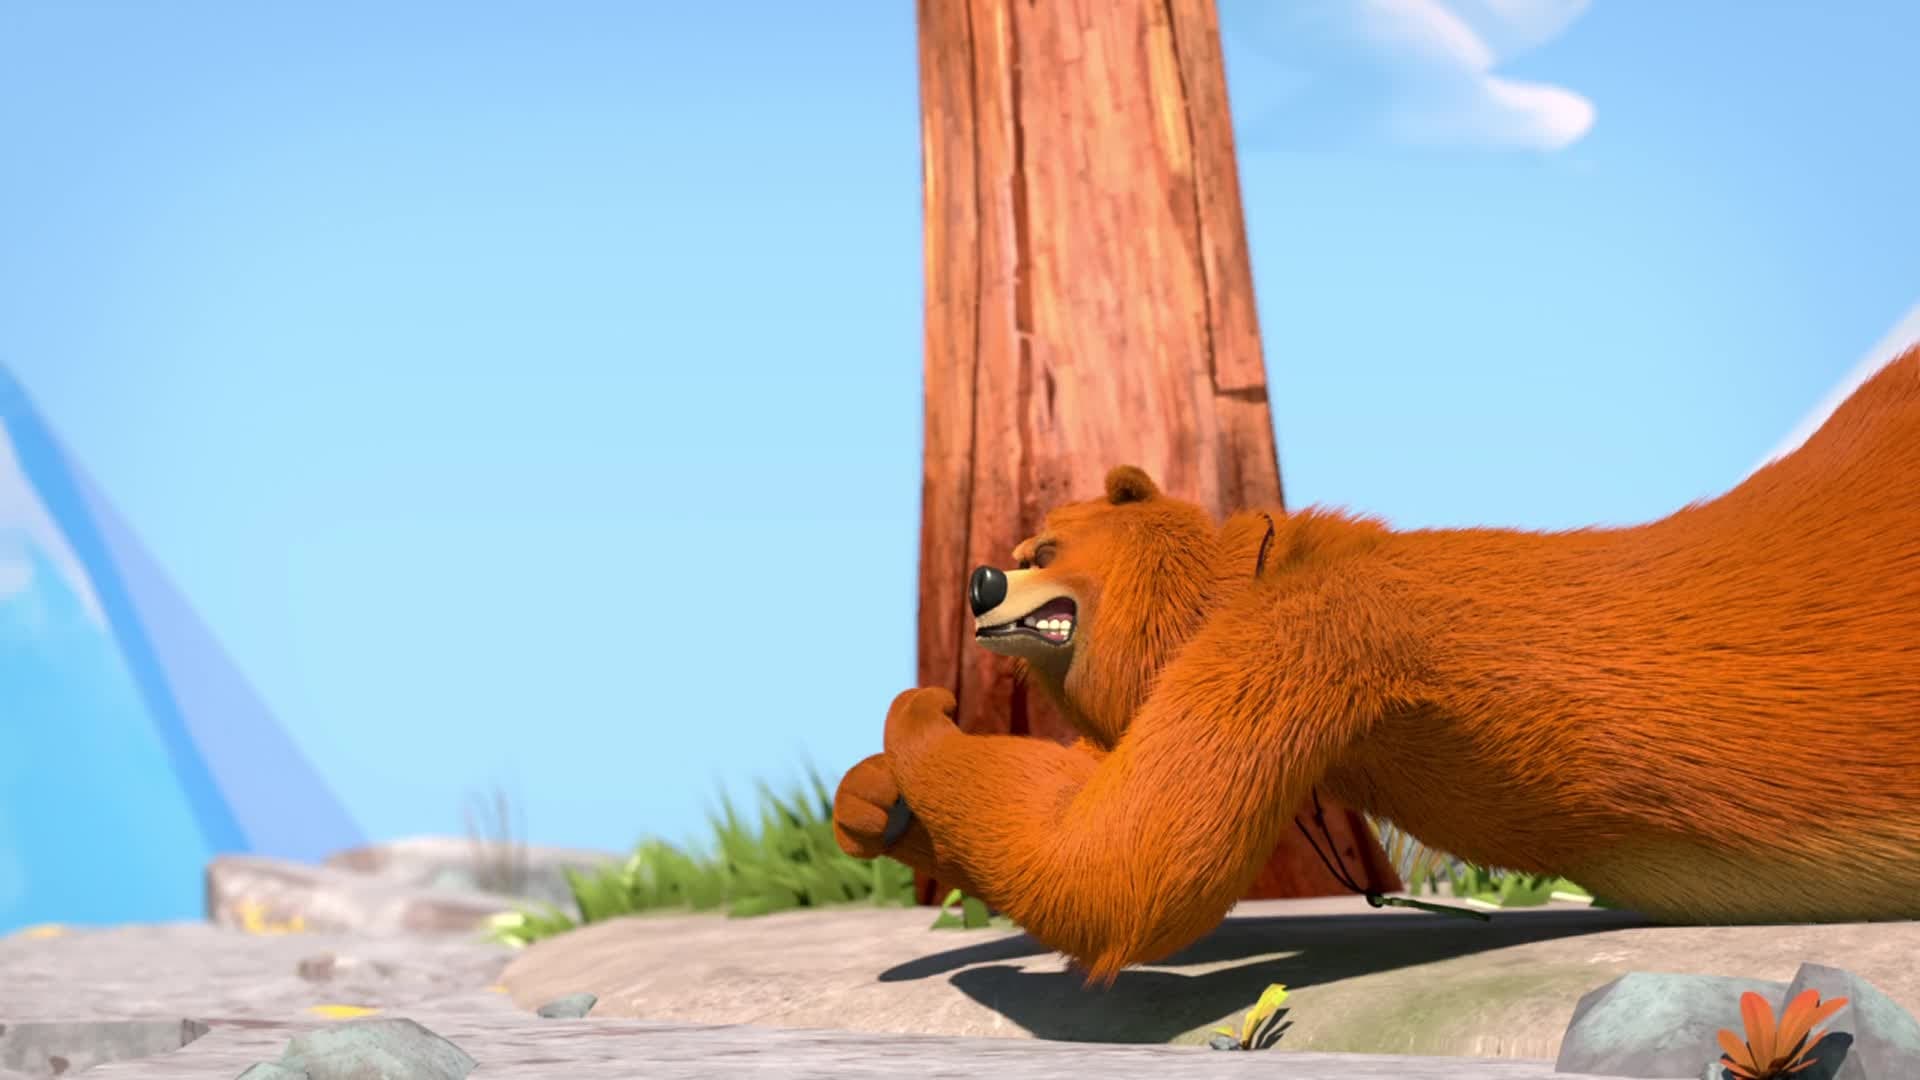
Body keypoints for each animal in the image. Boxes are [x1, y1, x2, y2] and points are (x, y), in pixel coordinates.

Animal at [833, 343, 1920, 985]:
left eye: (1042, 551)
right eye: (1014, 549)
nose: (978, 580)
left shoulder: (1322, 629)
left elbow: (1114, 865)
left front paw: (917, 716)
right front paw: (872, 801)